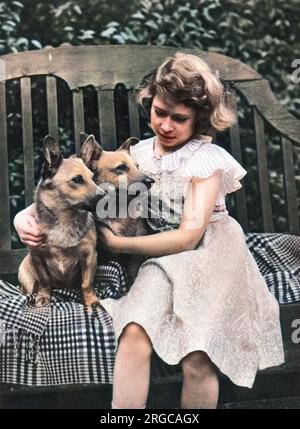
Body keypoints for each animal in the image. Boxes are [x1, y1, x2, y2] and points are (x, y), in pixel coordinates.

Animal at [18, 136, 105, 308]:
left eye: (92, 178)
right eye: (77, 179)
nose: (106, 195)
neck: (65, 217)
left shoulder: (90, 255)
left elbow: (86, 284)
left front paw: (91, 300)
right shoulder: (37, 255)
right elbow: (44, 280)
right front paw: (43, 296)